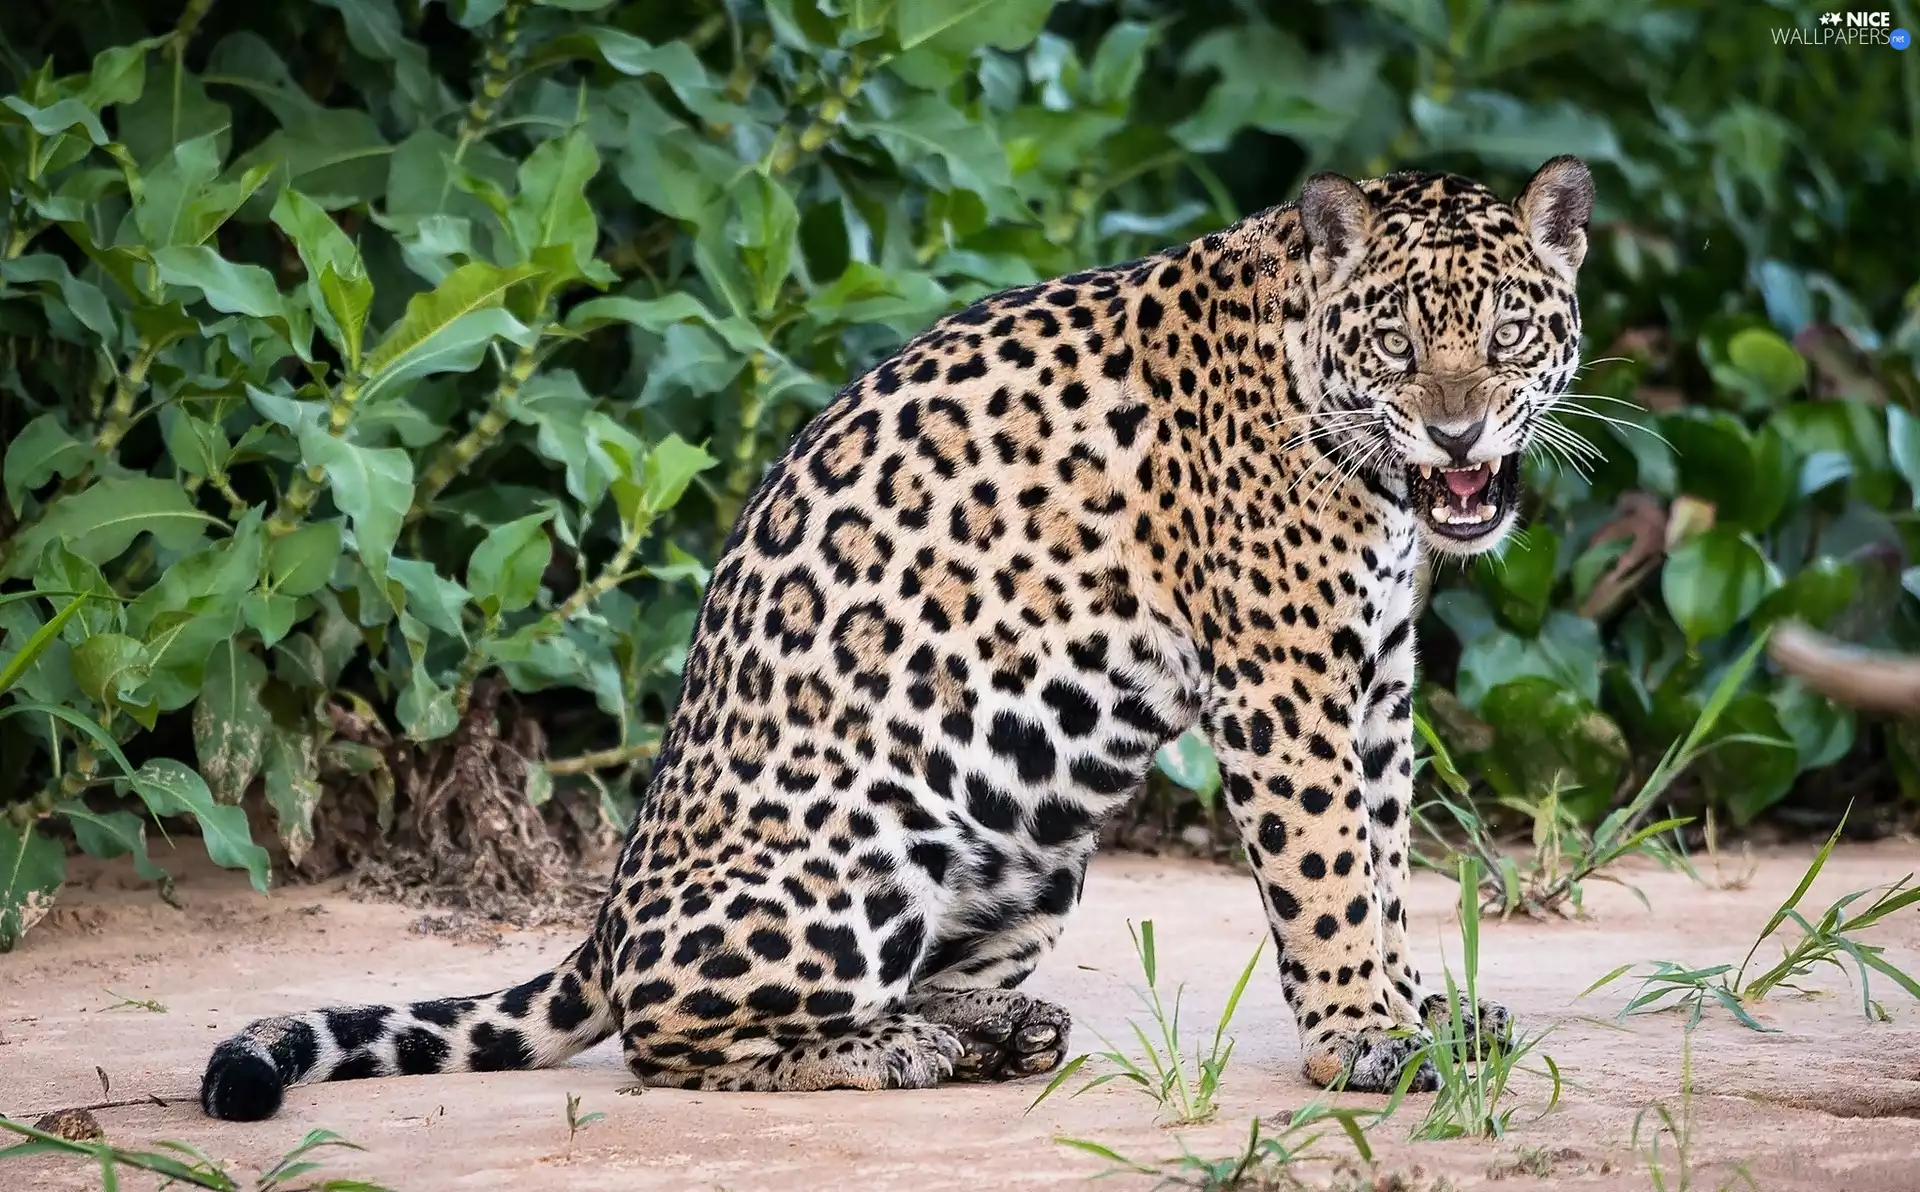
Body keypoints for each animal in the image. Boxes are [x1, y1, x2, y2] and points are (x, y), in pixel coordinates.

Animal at [199, 155, 1595, 1120]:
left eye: (1507, 333)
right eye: (1397, 342)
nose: (1460, 434)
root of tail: (603, 917)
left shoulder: (1376, 687)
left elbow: (1386, 862)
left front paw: (1416, 1007)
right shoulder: (1284, 681)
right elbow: (1328, 875)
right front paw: (1364, 1037)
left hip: (1037, 850)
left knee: (905, 977)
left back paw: (991, 1027)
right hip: (850, 872)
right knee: (673, 1045)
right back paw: (903, 1050)